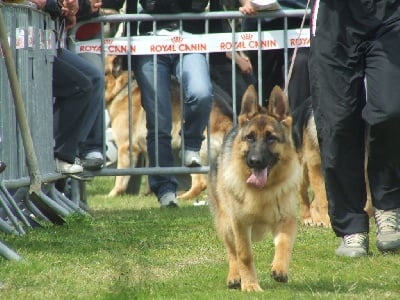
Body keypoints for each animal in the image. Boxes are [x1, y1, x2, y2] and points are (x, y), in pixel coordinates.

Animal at [209, 84, 300, 290]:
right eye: (250, 138)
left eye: (271, 138)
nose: (255, 161)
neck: (262, 191)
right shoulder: (239, 224)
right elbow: (244, 255)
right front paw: (250, 285)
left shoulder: (286, 220)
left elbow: (284, 244)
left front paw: (280, 269)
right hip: (226, 224)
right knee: (232, 252)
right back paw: (235, 276)